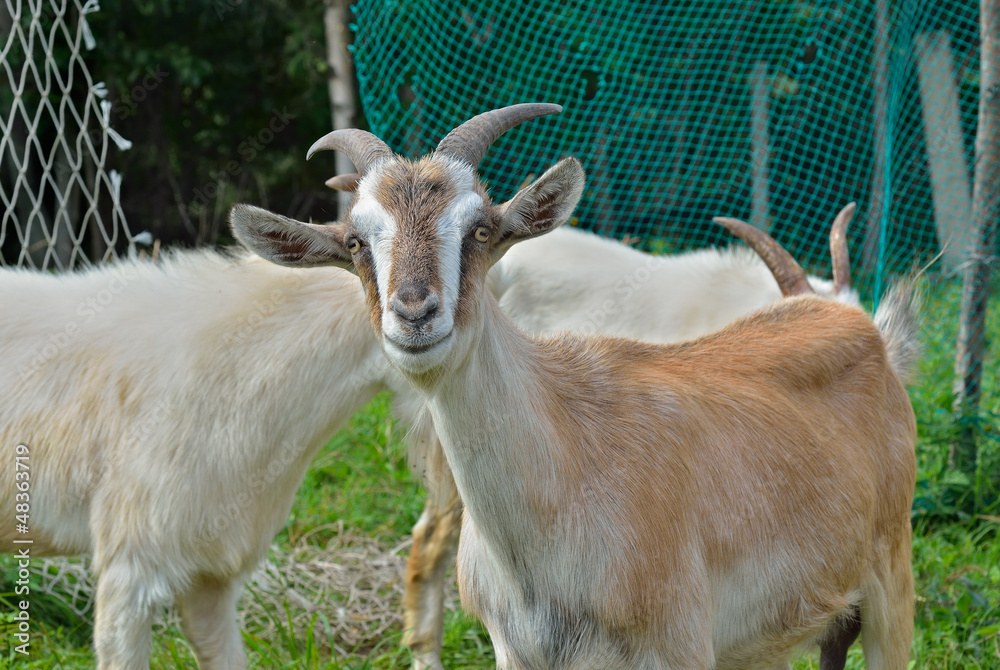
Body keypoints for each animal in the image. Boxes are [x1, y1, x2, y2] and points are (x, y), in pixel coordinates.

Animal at [233, 103, 918, 669]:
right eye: (354, 241)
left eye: (481, 229)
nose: (415, 313)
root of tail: (858, 326)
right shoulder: (518, 655)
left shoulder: (680, 645)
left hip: (891, 579)